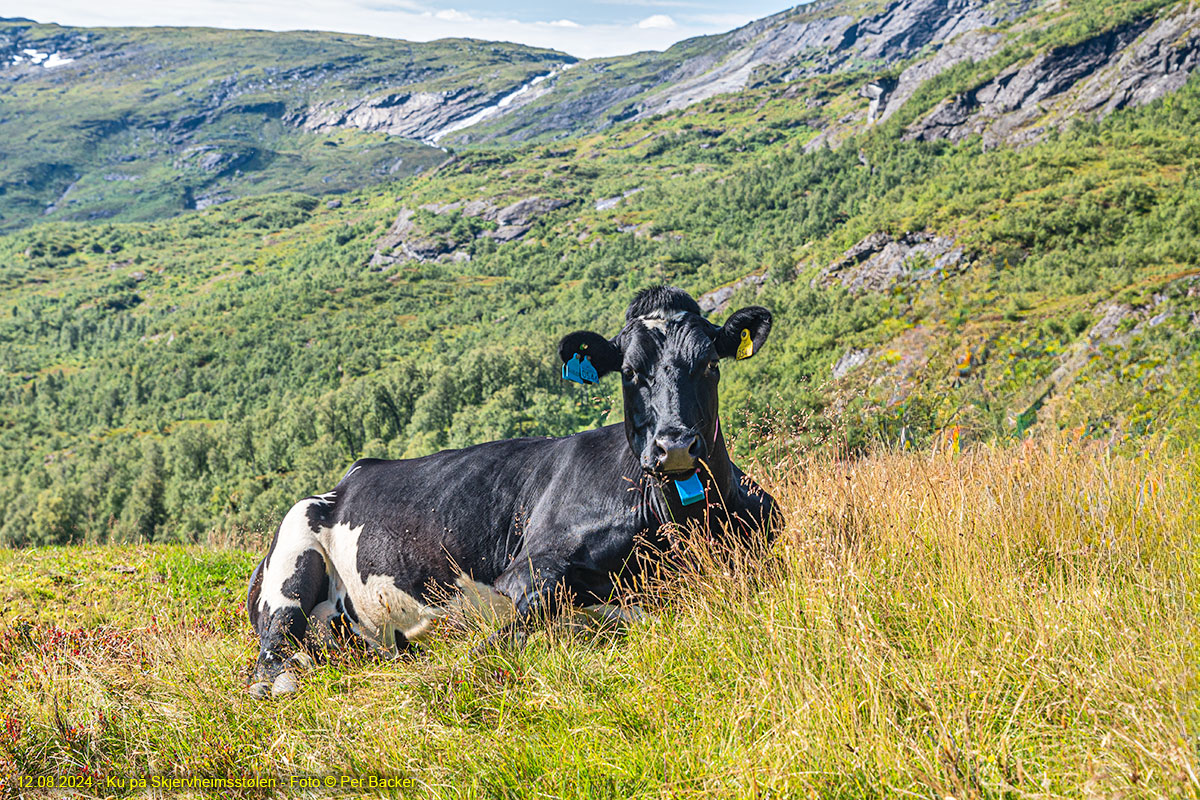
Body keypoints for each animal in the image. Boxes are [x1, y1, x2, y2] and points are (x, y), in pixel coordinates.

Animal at [248, 284, 782, 695]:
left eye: (710, 363)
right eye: (630, 373)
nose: (673, 445)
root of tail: (348, 478)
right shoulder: (529, 569)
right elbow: (507, 637)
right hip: (293, 553)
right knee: (273, 653)